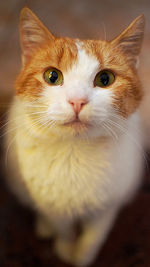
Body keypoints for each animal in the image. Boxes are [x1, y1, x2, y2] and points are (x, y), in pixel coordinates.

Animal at [5, 8, 145, 267]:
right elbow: (63, 229)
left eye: (105, 79)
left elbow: (93, 236)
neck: (74, 152)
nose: (77, 101)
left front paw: (81, 257)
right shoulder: (52, 204)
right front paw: (64, 248)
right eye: (52, 76)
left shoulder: (108, 204)